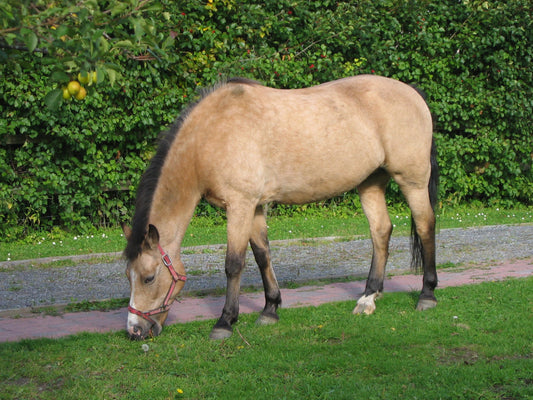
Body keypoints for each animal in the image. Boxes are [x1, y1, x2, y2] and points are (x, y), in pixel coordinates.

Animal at [122, 75, 438, 340]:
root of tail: (413, 93)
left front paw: (225, 321)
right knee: (380, 231)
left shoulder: (239, 204)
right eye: (128, 277)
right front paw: (270, 309)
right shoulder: (255, 207)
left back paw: (427, 295)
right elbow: (262, 255)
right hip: (370, 183)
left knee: (425, 225)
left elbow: (233, 263)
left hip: (412, 181)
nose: (135, 331)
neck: (210, 135)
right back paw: (368, 298)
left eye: (149, 278)